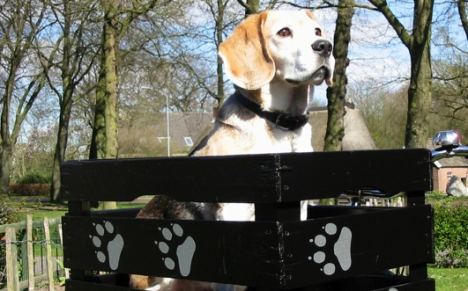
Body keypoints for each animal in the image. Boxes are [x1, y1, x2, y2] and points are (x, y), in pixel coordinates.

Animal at [130, 9, 334, 291]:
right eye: (284, 32)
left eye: (317, 31)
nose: (325, 46)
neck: (280, 126)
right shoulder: (233, 213)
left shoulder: (299, 208)